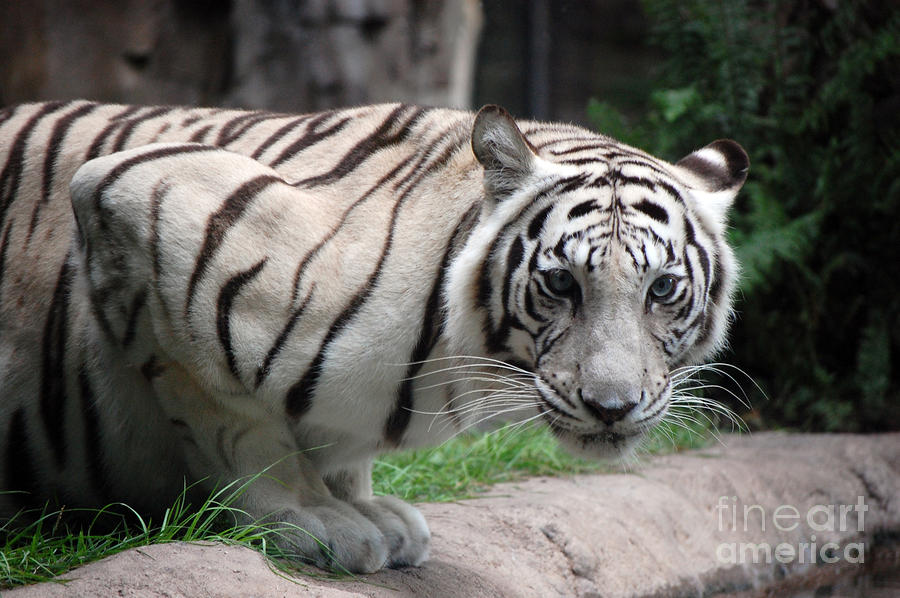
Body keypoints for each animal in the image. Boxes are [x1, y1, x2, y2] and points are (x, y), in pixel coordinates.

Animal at [0, 101, 748, 576]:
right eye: (563, 283)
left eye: (662, 289)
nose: (612, 408)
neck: (449, 369)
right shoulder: (138, 199)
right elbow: (237, 425)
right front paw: (318, 519)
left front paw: (366, 507)